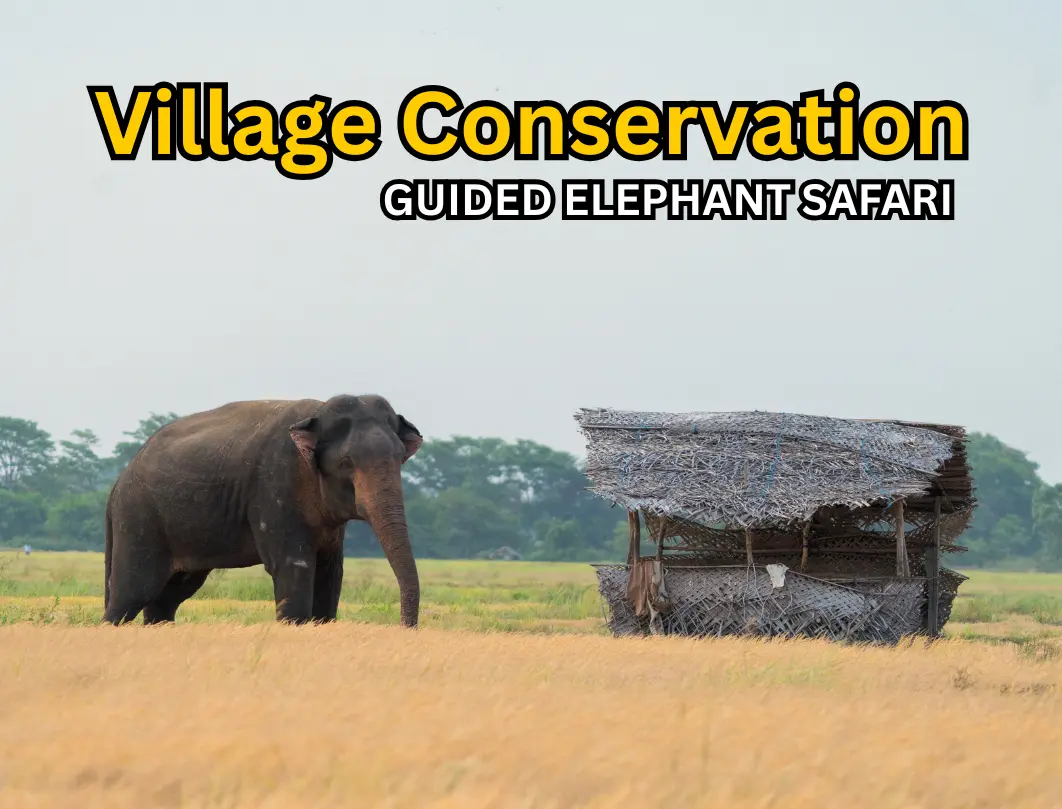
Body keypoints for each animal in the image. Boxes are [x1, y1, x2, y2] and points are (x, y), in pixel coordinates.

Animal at [103, 394, 423, 627]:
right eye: (346, 463)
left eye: (400, 458)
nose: (403, 628)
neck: (316, 413)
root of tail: (117, 483)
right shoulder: (274, 487)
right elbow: (293, 567)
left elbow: (330, 572)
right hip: (139, 520)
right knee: (132, 593)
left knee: (168, 596)